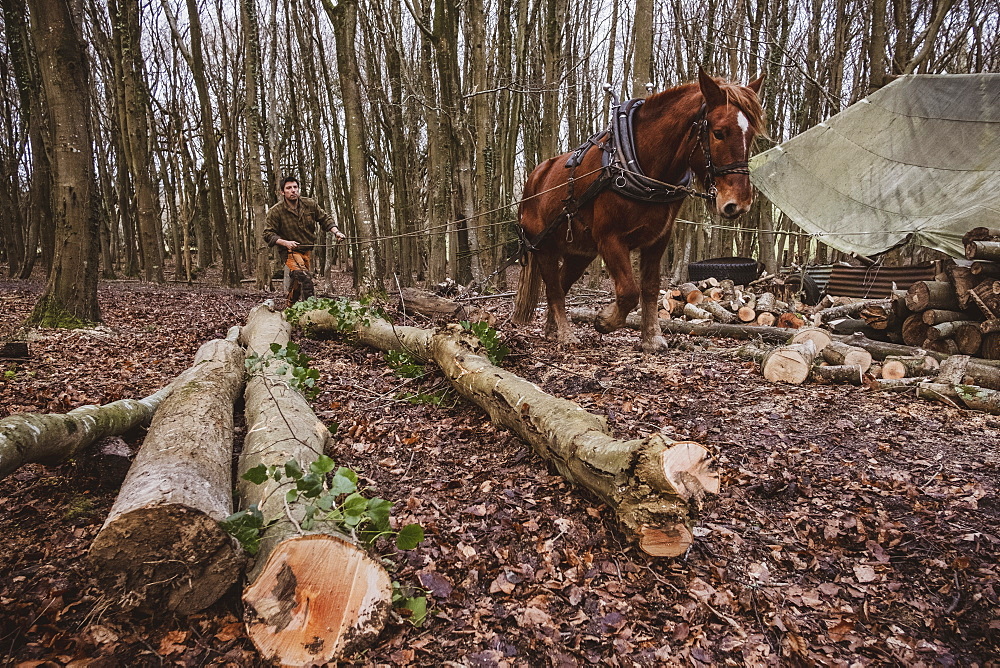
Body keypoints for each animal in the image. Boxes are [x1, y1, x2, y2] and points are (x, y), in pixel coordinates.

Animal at [516, 70, 764, 352]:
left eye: (751, 135)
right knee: (554, 289)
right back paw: (566, 334)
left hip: (579, 254)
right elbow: (628, 291)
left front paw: (652, 337)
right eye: (719, 133)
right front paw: (605, 320)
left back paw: (551, 330)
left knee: (561, 283)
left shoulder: (658, 241)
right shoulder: (610, 240)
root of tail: (534, 179)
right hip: (544, 248)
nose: (739, 203)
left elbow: (650, 288)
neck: (635, 165)